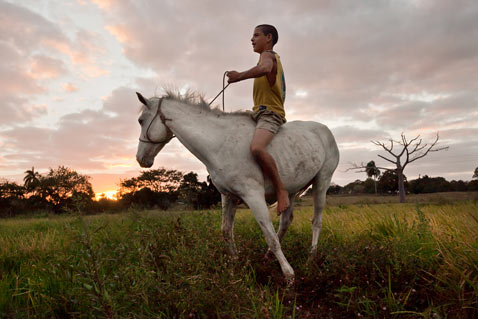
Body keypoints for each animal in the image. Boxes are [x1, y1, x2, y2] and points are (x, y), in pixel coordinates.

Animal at [134, 91, 340, 284]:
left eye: (141, 120)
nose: (140, 159)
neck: (219, 143)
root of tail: (325, 130)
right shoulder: (228, 196)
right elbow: (226, 231)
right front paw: (235, 263)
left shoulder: (253, 195)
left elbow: (270, 235)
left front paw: (288, 275)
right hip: (290, 191)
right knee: (285, 222)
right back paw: (268, 256)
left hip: (322, 182)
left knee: (316, 221)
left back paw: (311, 257)